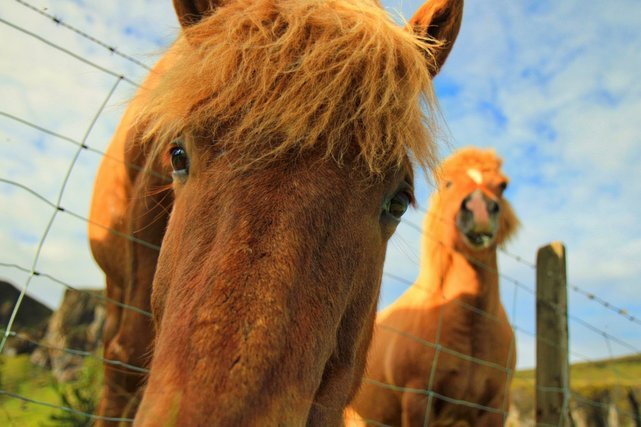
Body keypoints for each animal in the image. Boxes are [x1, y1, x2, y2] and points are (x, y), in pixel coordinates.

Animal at [348, 147, 520, 426]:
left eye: (502, 185)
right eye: (447, 183)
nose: (480, 211)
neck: (471, 326)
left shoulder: (496, 407)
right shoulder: (418, 398)